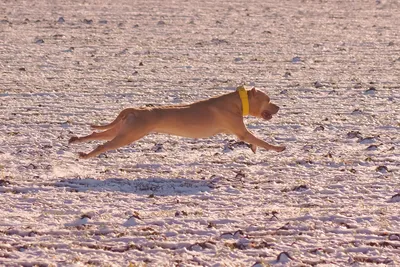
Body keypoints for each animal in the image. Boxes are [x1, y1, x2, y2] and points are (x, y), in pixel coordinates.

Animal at [69, 87, 288, 160]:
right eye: (268, 99)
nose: (279, 107)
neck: (237, 101)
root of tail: (135, 110)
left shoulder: (240, 132)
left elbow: (255, 141)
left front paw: (254, 148)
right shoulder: (241, 131)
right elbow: (262, 141)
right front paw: (277, 148)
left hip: (120, 131)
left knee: (95, 135)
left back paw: (75, 140)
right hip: (127, 136)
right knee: (102, 145)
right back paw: (86, 155)